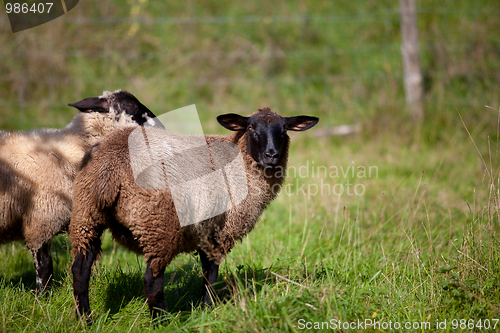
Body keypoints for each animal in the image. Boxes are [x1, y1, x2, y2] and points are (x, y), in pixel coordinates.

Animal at [0, 89, 161, 290]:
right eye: (131, 105)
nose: (160, 125)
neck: (75, 148)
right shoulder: (41, 219)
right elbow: (45, 267)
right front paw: (42, 295)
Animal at [69, 107, 320, 320]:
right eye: (251, 127)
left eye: (284, 129)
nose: (272, 155)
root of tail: (111, 165)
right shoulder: (219, 231)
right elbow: (211, 275)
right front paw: (207, 309)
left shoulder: (204, 231)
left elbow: (207, 272)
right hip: (158, 225)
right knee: (152, 280)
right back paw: (164, 321)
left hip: (86, 215)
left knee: (80, 271)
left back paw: (86, 319)